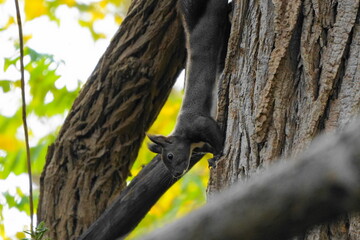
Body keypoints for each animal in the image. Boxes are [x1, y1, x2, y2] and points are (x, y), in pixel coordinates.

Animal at [147, 0, 229, 177]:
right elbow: (209, 147)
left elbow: (215, 135)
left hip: (217, 13)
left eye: (170, 156)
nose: (176, 174)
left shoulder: (198, 123)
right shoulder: (201, 145)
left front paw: (220, 153)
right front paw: (213, 157)